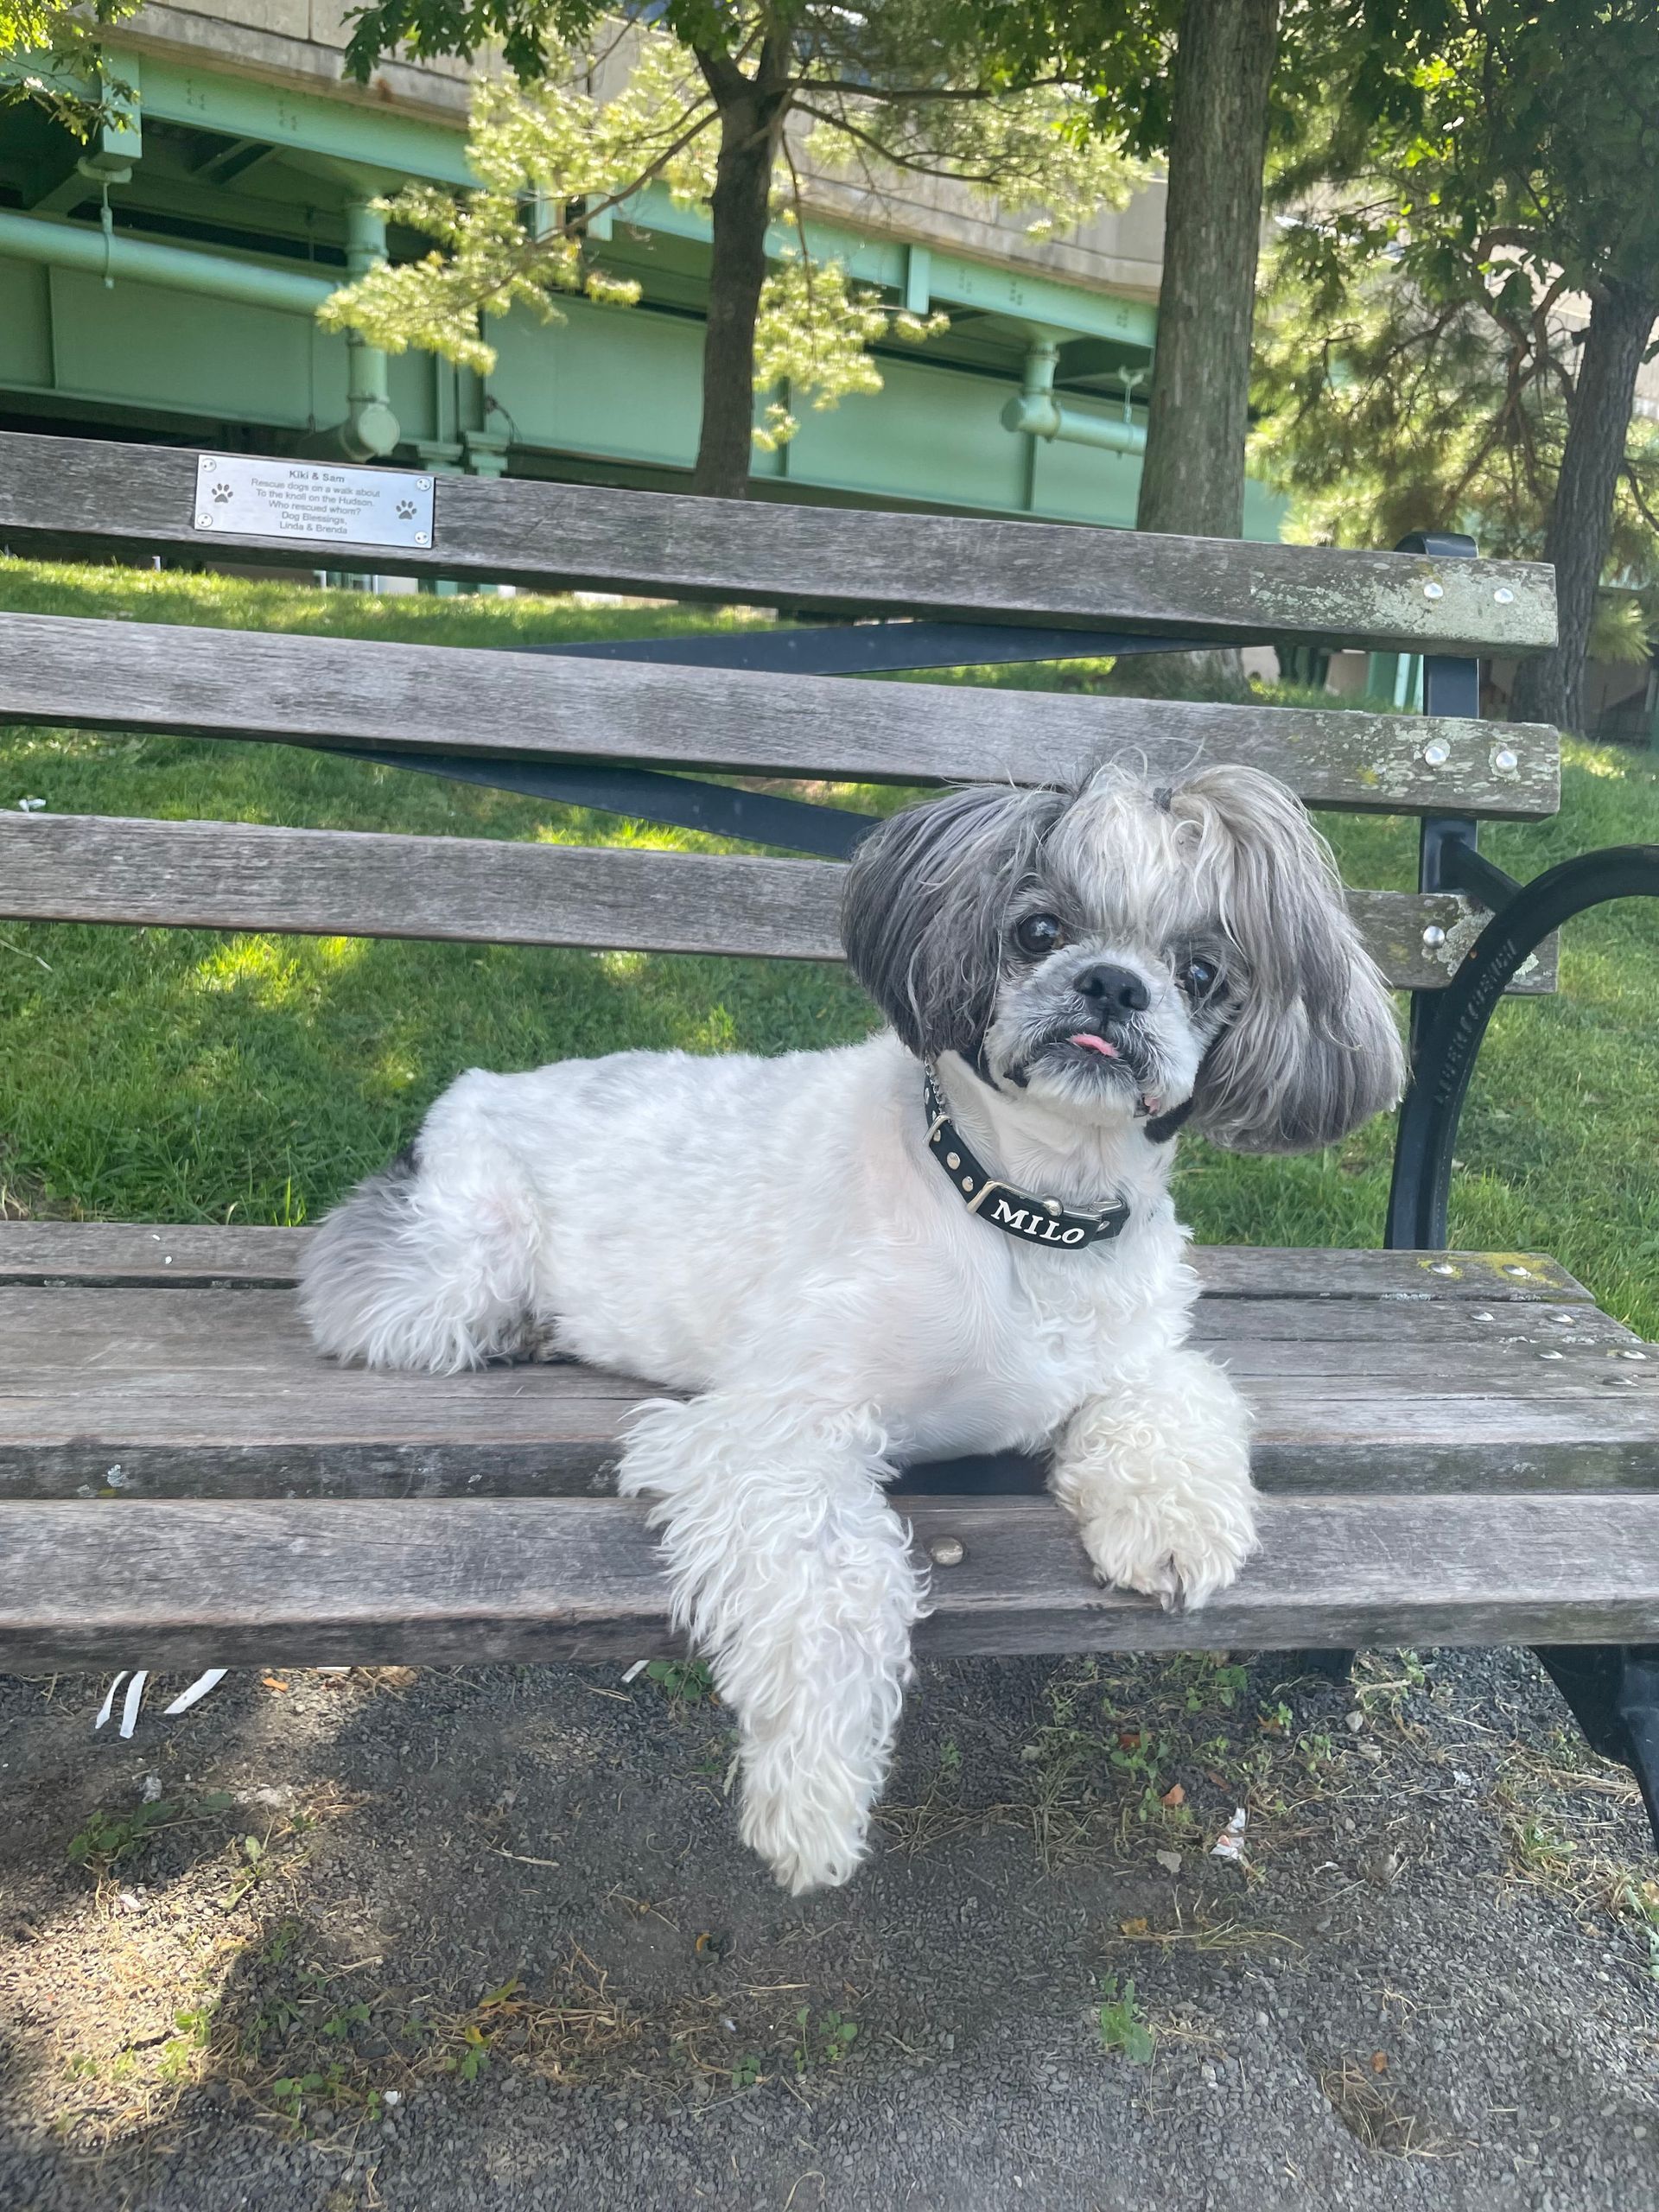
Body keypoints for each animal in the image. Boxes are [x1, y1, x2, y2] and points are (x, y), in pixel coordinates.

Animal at [298, 769, 1407, 1893]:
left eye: (1200, 970)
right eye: (1039, 929)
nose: (1112, 985)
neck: (1019, 1207)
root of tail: (478, 1084)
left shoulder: (1135, 1352)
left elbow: (1174, 1400)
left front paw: (1174, 1526)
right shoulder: (773, 1429)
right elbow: (835, 1583)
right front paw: (813, 1794)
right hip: (446, 1279)